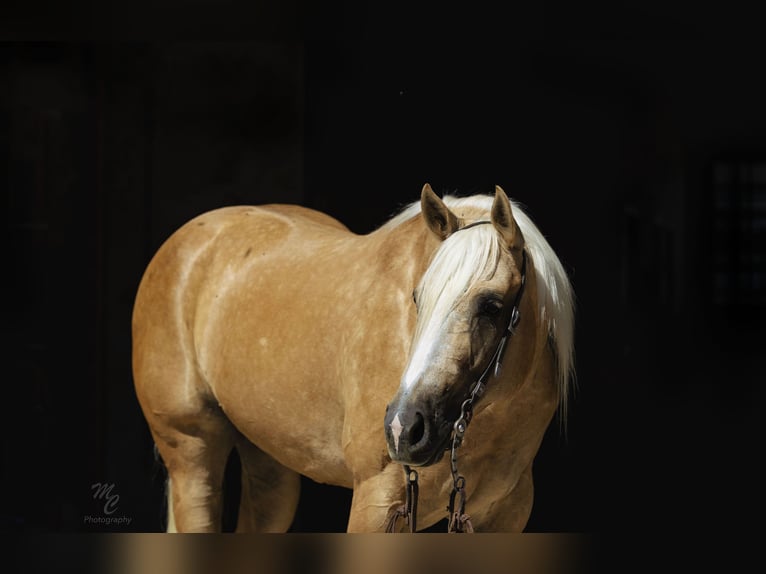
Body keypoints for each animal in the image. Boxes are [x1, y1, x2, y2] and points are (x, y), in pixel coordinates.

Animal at [131, 183, 575, 532]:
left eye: (492, 305)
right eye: (418, 297)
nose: (404, 428)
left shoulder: (503, 514)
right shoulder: (376, 503)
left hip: (271, 467)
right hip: (192, 457)